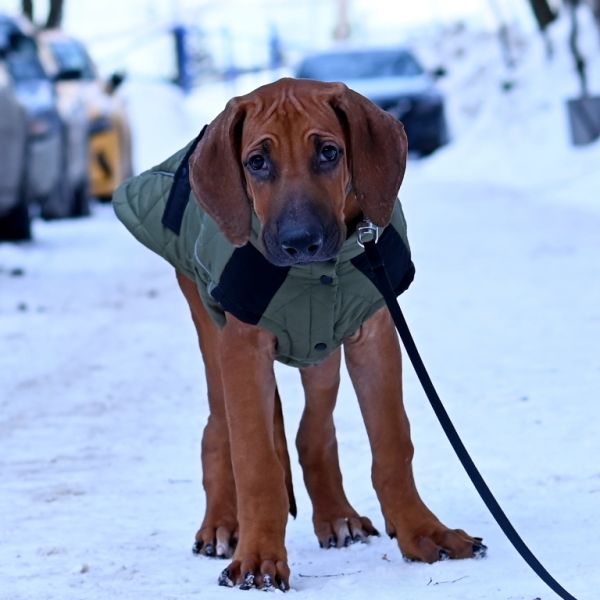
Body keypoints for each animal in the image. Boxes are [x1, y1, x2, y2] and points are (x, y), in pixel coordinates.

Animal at [113, 78, 485, 591]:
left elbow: (392, 443)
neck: (321, 273)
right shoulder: (242, 348)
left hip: (322, 349)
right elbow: (256, 462)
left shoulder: (375, 333)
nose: (300, 242)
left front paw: (422, 532)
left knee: (314, 429)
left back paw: (338, 517)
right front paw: (259, 560)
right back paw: (221, 525)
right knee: (218, 428)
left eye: (329, 153)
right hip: (211, 332)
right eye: (256, 162)